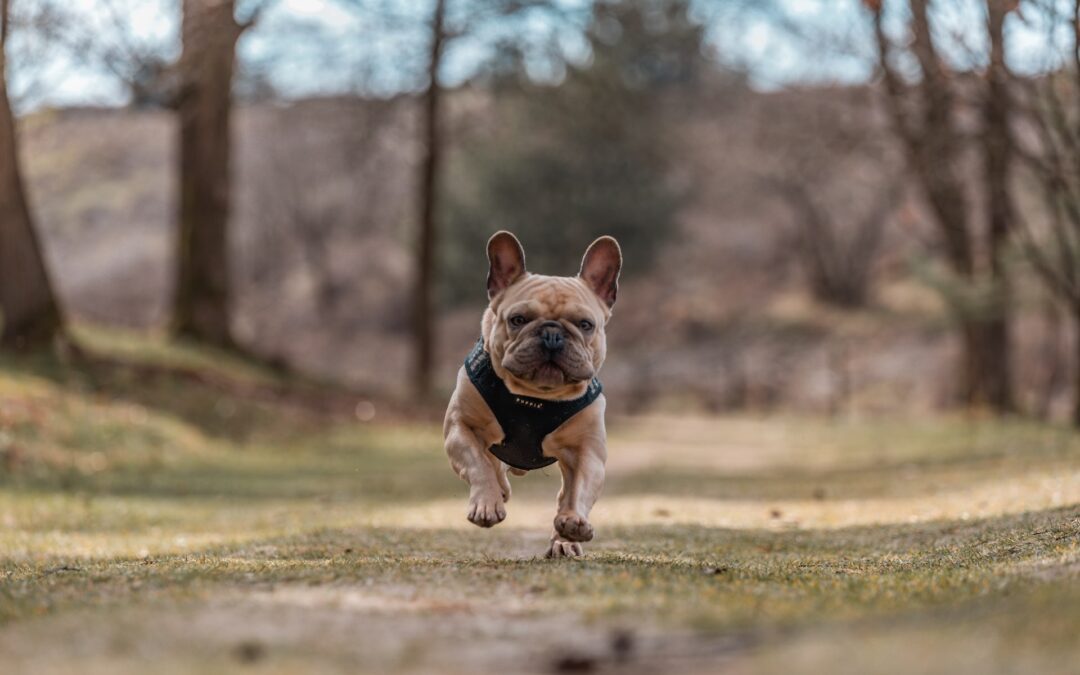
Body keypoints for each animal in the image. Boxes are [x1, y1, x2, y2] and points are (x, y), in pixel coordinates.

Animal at [440, 231, 626, 557]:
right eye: (518, 319)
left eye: (585, 325)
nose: (552, 334)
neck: (536, 396)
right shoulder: (460, 428)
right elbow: (478, 463)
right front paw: (486, 503)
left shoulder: (587, 451)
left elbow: (579, 490)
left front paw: (574, 523)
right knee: (493, 466)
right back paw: (499, 492)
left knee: (564, 495)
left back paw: (564, 540)